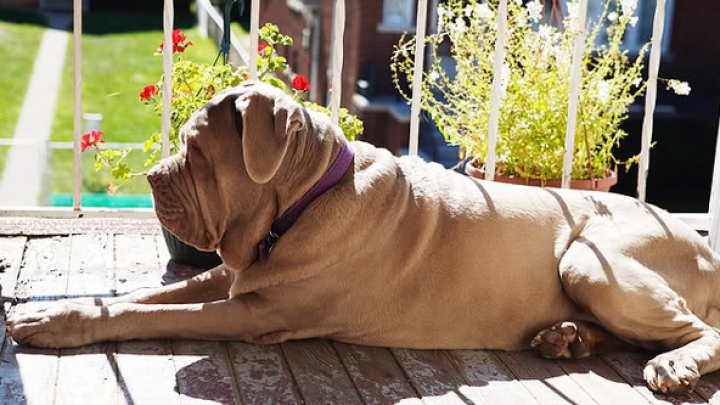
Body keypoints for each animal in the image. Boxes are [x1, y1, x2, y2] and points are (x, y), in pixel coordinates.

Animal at [7, 80, 720, 392]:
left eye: (197, 149)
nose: (154, 178)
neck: (308, 197)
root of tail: (704, 245)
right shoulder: (231, 274)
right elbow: (138, 298)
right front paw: (63, 309)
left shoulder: (254, 310)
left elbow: (149, 315)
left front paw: (52, 324)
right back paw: (567, 338)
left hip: (589, 262)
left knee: (694, 331)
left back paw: (673, 364)